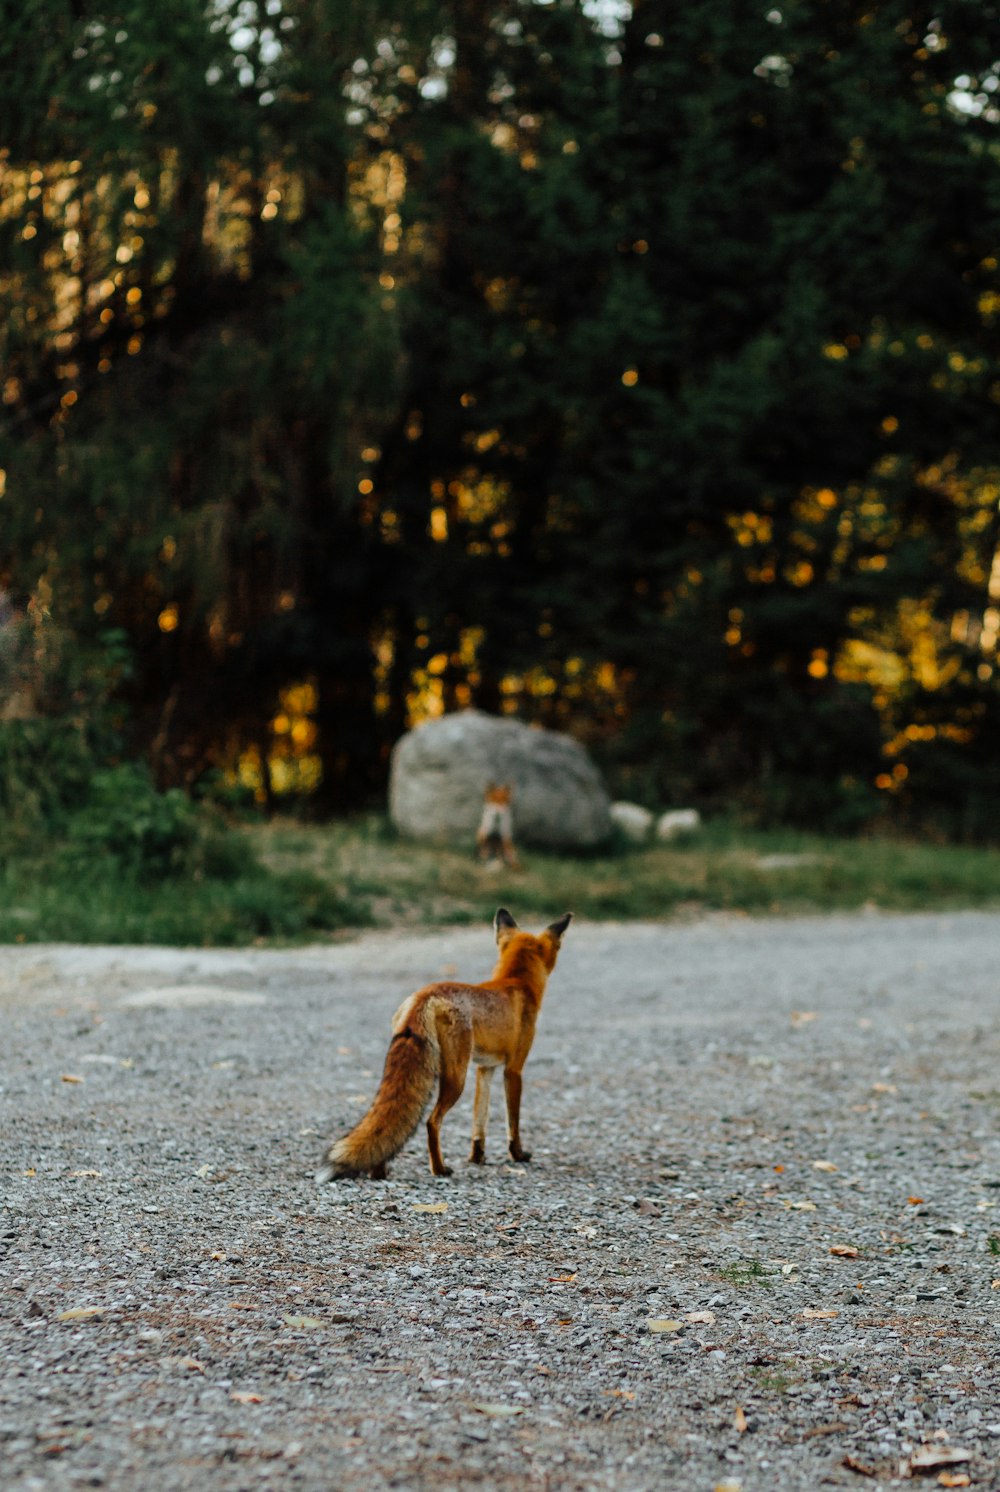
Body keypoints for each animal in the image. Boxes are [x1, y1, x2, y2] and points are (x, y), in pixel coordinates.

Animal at [317, 901, 576, 1181]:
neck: (515, 982)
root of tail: (426, 995)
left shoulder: (485, 1068)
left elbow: (479, 1121)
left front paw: (477, 1157)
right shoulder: (514, 1069)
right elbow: (513, 1122)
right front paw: (518, 1155)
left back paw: (379, 1171)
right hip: (456, 1077)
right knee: (432, 1121)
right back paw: (439, 1169)